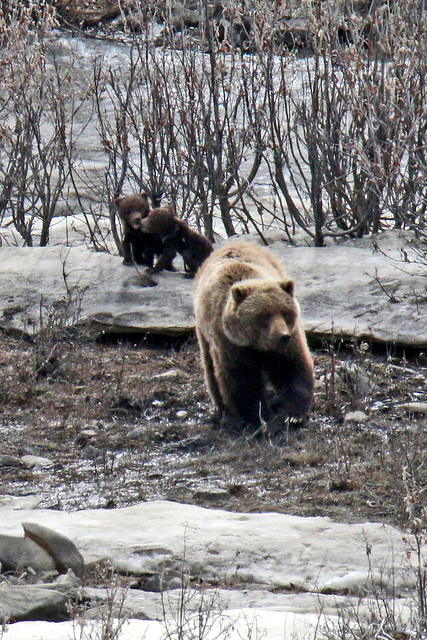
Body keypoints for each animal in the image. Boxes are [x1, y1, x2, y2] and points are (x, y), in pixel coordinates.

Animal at [194, 241, 314, 430]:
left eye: (285, 313)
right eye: (264, 315)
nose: (283, 336)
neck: (258, 344)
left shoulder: (288, 342)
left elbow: (292, 367)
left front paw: (294, 415)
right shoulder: (230, 343)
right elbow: (241, 381)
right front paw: (257, 418)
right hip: (203, 331)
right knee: (210, 368)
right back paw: (221, 409)